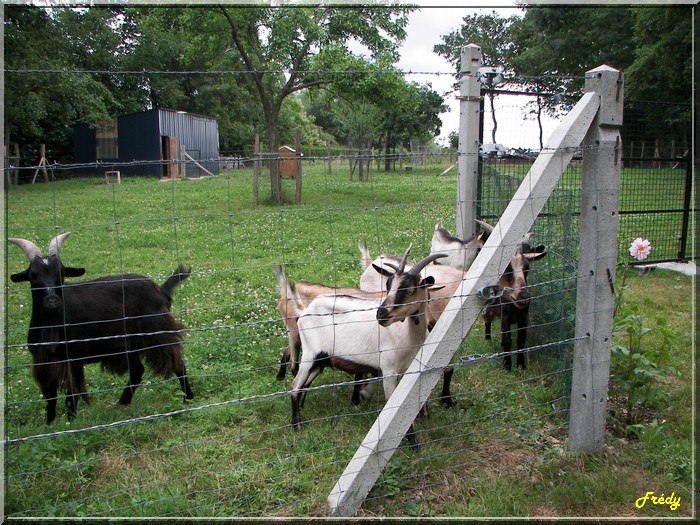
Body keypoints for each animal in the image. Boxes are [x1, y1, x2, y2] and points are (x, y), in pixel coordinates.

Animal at [8, 232, 194, 422]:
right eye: (33, 275)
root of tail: (161, 290)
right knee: (137, 370)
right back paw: (122, 404)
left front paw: (71, 422)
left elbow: (71, 396)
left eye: (61, 273)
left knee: (177, 363)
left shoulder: (73, 359)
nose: (52, 301)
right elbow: (50, 398)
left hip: (158, 331)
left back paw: (188, 398)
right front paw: (50, 423)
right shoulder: (44, 362)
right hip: (131, 344)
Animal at [482, 236, 548, 368]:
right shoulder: (505, 318)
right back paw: (488, 339)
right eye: (506, 269)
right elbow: (507, 341)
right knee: (487, 320)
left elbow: (521, 341)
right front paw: (507, 365)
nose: (523, 297)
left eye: (527, 267)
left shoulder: (523, 318)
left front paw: (521, 365)